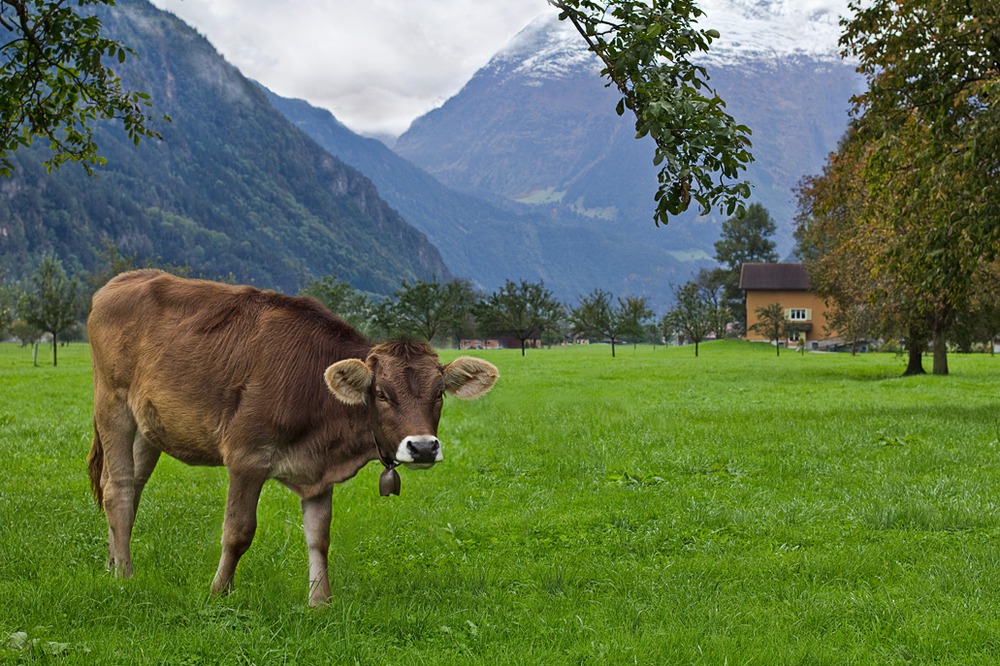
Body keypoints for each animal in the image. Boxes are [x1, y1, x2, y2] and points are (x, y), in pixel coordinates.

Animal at [84, 268, 498, 600]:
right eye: (381, 393)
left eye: (439, 393)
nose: (423, 447)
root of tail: (125, 279)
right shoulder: (246, 457)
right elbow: (238, 532)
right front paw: (218, 593)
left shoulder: (319, 472)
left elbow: (319, 538)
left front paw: (320, 601)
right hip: (112, 403)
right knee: (117, 489)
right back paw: (125, 574)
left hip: (147, 428)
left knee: (131, 487)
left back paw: (111, 561)